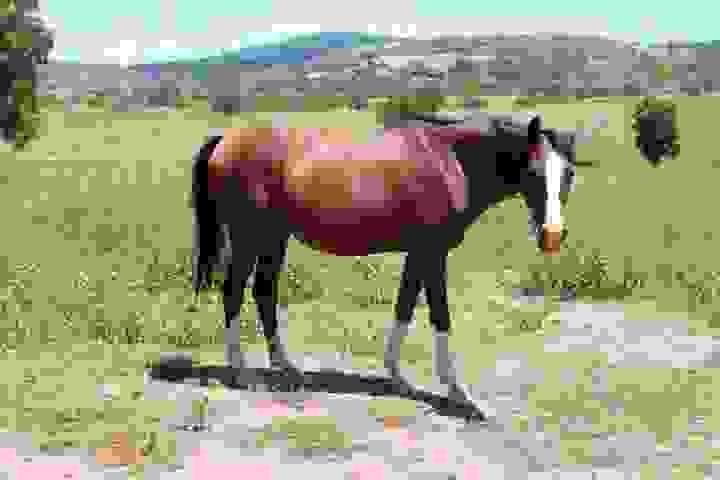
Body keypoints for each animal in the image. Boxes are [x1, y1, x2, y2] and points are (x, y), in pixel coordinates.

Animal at [190, 112, 579, 414]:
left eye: (569, 173)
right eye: (532, 171)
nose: (552, 235)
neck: (451, 161)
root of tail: (226, 138)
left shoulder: (419, 254)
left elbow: (404, 306)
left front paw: (398, 377)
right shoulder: (432, 254)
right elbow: (440, 316)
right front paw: (459, 394)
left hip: (274, 238)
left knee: (264, 292)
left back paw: (286, 367)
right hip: (249, 238)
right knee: (233, 292)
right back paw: (243, 372)